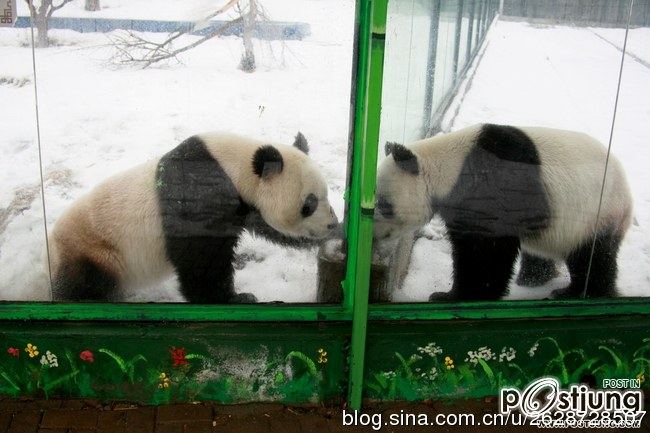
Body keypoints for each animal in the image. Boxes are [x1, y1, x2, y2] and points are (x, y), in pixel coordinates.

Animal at [49, 132, 339, 303]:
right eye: (309, 204)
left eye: (325, 195)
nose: (331, 224)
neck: (233, 166)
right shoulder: (200, 191)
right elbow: (201, 257)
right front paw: (236, 299)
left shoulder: (243, 206)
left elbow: (268, 227)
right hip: (96, 249)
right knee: (86, 284)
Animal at [374, 124, 633, 301]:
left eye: (384, 204)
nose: (375, 236)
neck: (447, 166)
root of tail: (628, 195)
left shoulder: (489, 185)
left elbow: (487, 248)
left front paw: (461, 295)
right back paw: (533, 278)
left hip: (597, 212)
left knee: (591, 256)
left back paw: (579, 293)